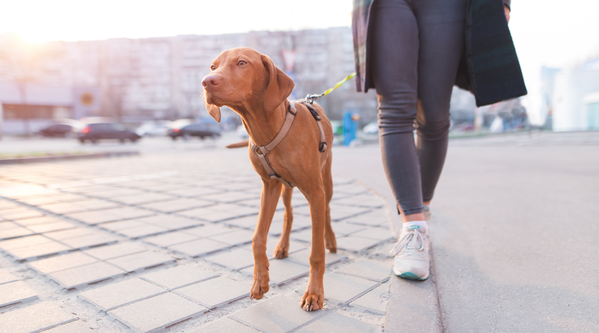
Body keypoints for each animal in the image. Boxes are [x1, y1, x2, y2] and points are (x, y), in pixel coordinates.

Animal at [203, 47, 338, 312]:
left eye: (242, 63)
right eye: (213, 67)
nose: (206, 81)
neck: (268, 130)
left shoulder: (314, 191)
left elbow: (315, 252)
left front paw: (314, 294)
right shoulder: (269, 186)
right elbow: (257, 237)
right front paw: (260, 282)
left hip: (325, 181)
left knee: (327, 210)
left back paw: (330, 240)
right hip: (286, 189)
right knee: (289, 214)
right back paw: (283, 246)